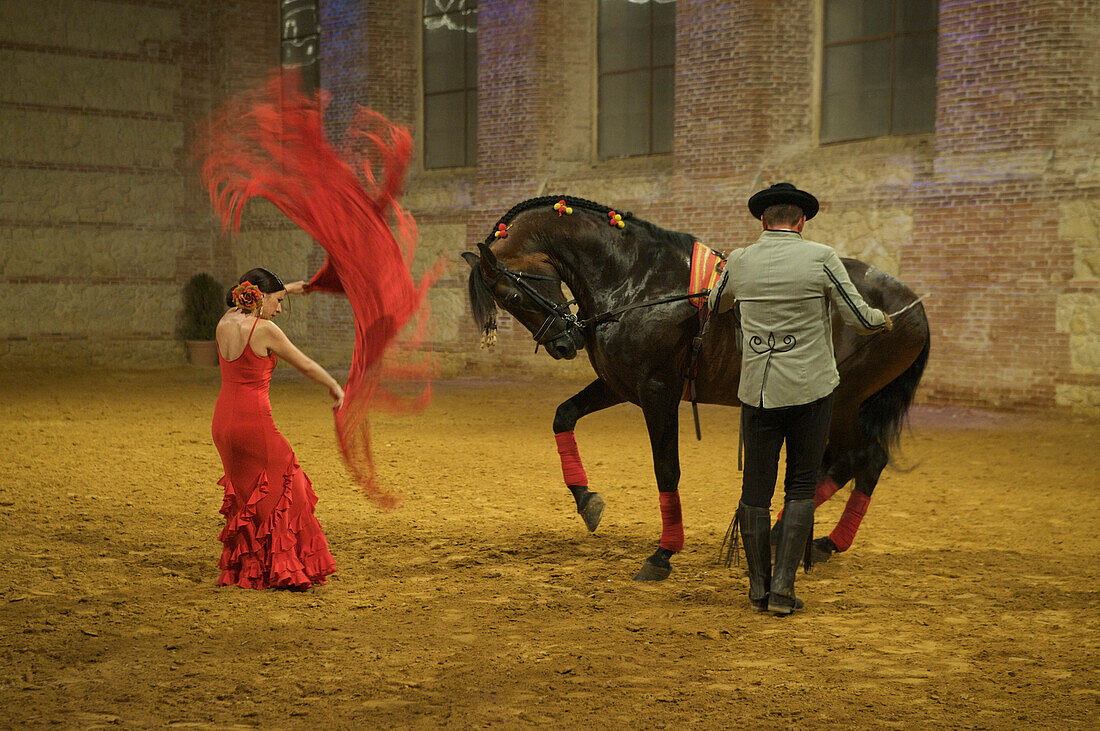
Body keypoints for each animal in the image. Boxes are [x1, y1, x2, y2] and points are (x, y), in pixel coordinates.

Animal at [457, 195, 928, 580]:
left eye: (511, 296)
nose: (562, 344)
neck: (637, 280)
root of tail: (911, 306)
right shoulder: (619, 385)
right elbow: (563, 417)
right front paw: (586, 499)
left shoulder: (657, 391)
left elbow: (667, 468)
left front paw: (663, 553)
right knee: (859, 463)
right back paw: (809, 538)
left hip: (844, 401)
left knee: (859, 459)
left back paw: (803, 537)